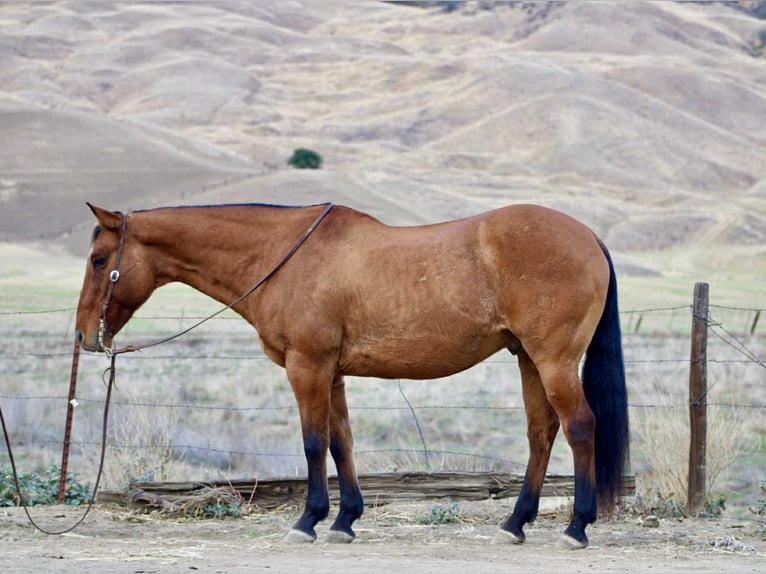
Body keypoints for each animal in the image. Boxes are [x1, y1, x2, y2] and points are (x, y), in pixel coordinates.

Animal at [75, 201, 629, 549]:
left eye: (99, 260)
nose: (84, 336)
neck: (283, 256)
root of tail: (589, 237)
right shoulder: (331, 373)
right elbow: (341, 440)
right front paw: (344, 519)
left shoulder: (307, 366)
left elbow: (314, 443)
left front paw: (308, 519)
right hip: (529, 359)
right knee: (542, 433)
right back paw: (515, 523)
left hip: (553, 360)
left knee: (579, 427)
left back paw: (577, 526)